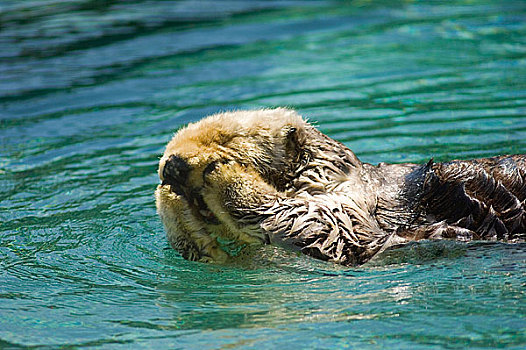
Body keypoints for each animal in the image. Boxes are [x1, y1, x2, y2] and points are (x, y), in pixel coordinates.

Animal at [156, 108, 526, 264]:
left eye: (226, 138)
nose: (171, 166)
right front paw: (169, 197)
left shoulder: (348, 201)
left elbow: (317, 223)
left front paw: (220, 173)